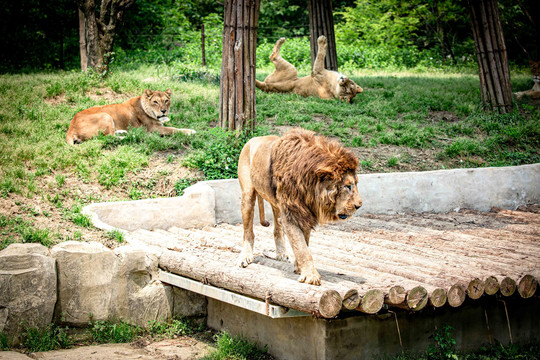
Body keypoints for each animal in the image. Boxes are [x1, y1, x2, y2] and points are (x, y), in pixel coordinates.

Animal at [65, 89, 196, 146]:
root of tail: (71, 128)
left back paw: (124, 132)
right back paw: (134, 135)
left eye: (166, 101)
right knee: (108, 137)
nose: (164, 111)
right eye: (155, 102)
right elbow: (173, 129)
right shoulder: (154, 128)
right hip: (105, 115)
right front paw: (190, 131)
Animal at [237, 128, 360, 286]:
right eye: (348, 186)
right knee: (248, 232)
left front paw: (299, 267)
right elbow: (302, 248)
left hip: (276, 205)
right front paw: (310, 276)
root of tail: (253, 138)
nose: (359, 205)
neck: (309, 187)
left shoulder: (305, 213)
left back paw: (282, 253)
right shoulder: (291, 213)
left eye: (356, 184)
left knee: (277, 229)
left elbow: (303, 243)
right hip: (247, 195)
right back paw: (245, 256)